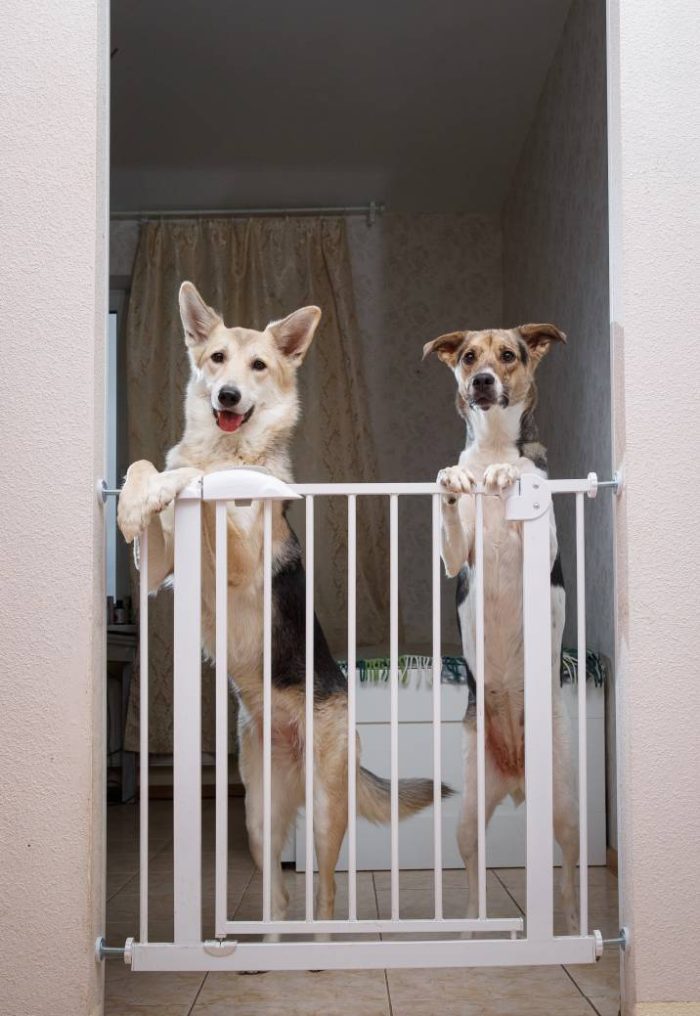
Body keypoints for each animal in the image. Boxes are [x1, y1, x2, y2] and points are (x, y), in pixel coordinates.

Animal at [115, 282, 442, 926]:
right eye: (217, 358)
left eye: (259, 366)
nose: (228, 394)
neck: (229, 448)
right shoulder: (160, 567)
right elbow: (151, 469)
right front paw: (137, 497)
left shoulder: (241, 560)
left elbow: (206, 486)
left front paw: (185, 481)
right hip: (258, 817)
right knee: (279, 892)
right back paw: (266, 937)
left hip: (326, 813)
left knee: (327, 891)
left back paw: (321, 939)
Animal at [420, 323, 577, 930]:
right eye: (467, 357)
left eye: (508, 355)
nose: (482, 381)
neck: (489, 443)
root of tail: (515, 779)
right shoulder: (454, 557)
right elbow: (451, 513)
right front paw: (453, 477)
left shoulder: (543, 545)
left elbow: (517, 484)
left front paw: (505, 472)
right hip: (467, 815)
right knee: (473, 866)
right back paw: (473, 923)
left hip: (563, 806)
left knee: (569, 865)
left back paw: (571, 924)